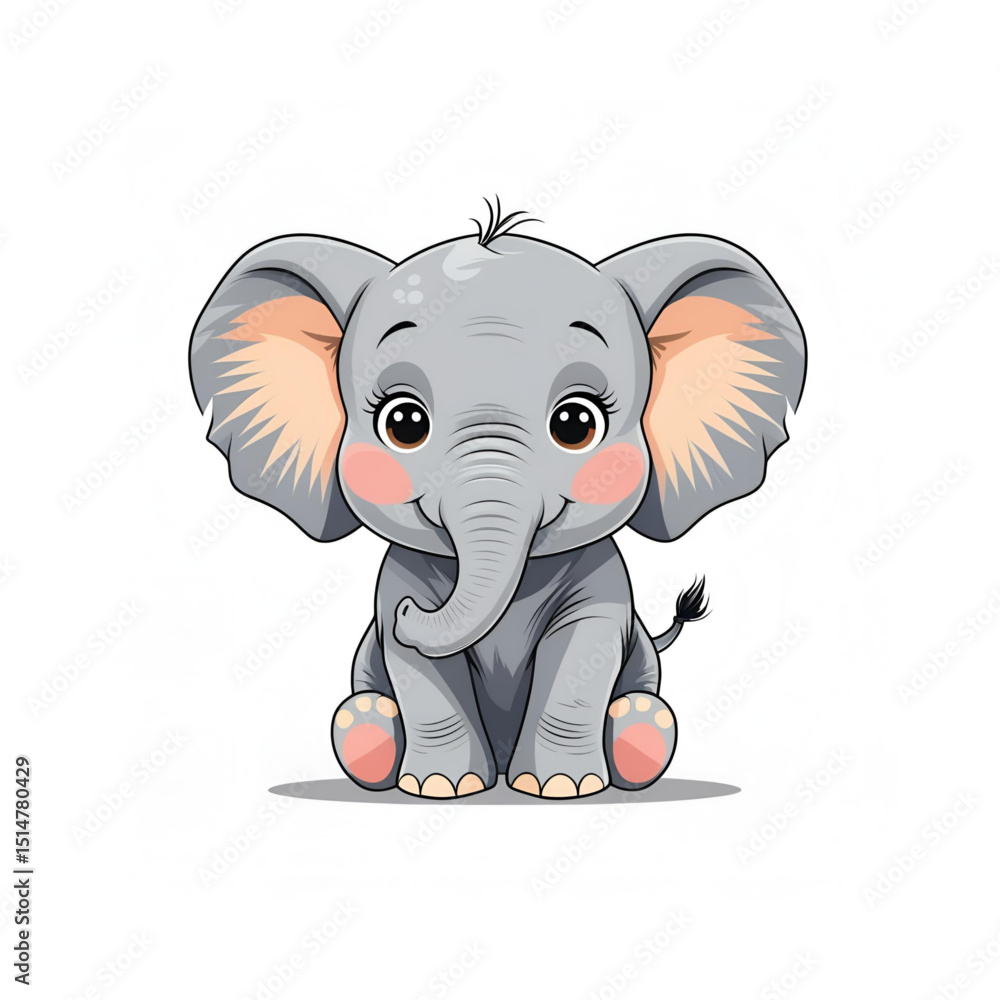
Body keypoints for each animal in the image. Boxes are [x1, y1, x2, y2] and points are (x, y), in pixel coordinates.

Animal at [189, 200, 806, 799]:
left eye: (577, 423)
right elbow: (415, 663)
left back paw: (639, 736)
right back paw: (368, 733)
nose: (413, 612)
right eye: (403, 423)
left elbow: (583, 649)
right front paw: (441, 788)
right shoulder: (402, 575)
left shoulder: (601, 580)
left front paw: (561, 788)